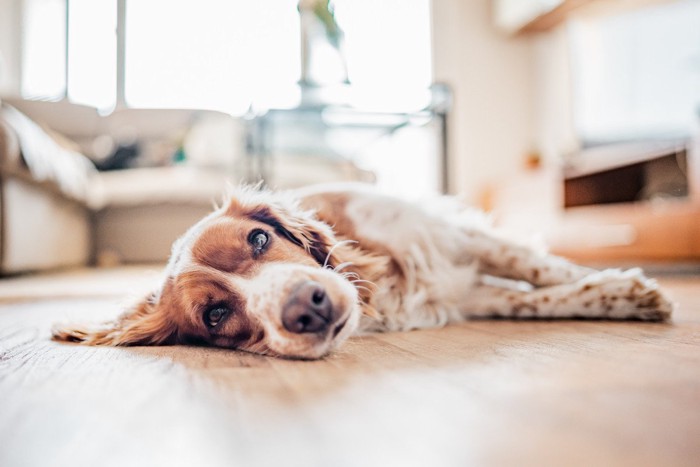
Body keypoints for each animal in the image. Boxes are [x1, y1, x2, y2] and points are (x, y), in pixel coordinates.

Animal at [52, 183, 676, 358]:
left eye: (260, 238)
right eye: (216, 314)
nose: (306, 309)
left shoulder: (449, 235)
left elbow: (542, 269)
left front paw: (631, 288)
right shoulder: (463, 292)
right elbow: (536, 297)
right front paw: (622, 294)